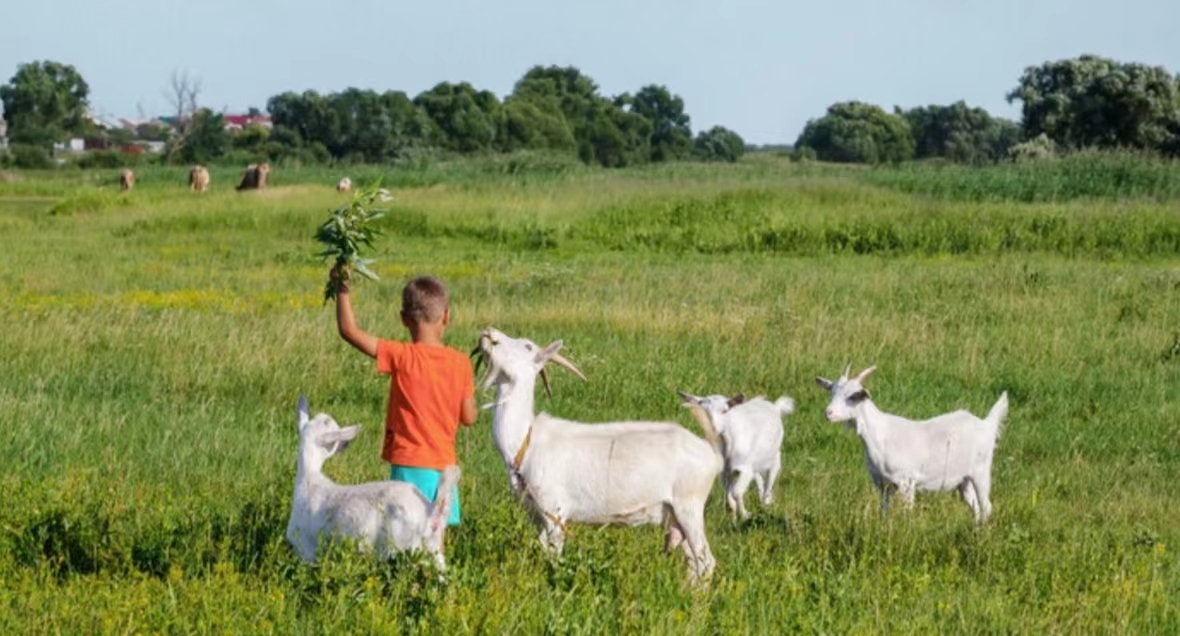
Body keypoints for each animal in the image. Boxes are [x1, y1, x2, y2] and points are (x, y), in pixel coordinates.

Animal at [474, 328, 722, 582]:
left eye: (527, 346)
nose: (488, 332)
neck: (526, 440)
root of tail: (710, 452)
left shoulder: (555, 512)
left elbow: (553, 554)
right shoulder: (536, 515)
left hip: (689, 504)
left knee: (706, 560)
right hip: (674, 513)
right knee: (692, 560)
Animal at [679, 391, 797, 519]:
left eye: (725, 411)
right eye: (703, 411)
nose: (713, 429)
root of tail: (775, 407)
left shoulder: (744, 467)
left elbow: (736, 492)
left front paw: (745, 514)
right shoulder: (724, 472)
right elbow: (729, 493)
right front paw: (734, 512)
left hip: (774, 455)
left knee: (771, 477)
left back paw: (766, 503)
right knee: (759, 479)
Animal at [821, 365, 1005, 526]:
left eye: (852, 396)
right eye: (832, 392)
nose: (828, 413)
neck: (881, 435)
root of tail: (986, 425)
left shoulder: (906, 482)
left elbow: (906, 513)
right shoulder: (882, 484)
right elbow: (884, 511)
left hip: (981, 471)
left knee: (986, 506)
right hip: (963, 479)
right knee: (975, 506)